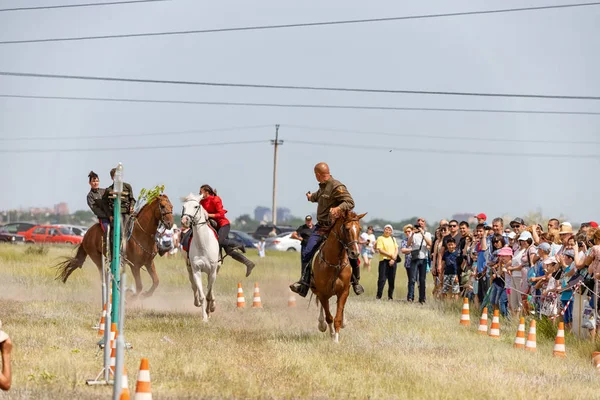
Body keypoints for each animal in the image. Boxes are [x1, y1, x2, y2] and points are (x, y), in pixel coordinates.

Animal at [180, 194, 223, 322]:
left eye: (196, 206)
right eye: (183, 206)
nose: (184, 221)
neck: (203, 245)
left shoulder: (212, 271)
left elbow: (208, 294)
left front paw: (209, 311)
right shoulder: (196, 271)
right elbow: (202, 295)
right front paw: (204, 317)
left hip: (216, 269)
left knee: (211, 288)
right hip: (189, 268)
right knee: (194, 286)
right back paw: (197, 302)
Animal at [314, 209, 366, 344]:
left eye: (359, 228)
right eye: (347, 229)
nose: (355, 253)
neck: (335, 263)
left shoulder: (343, 292)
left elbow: (337, 316)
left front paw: (336, 339)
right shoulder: (322, 293)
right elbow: (329, 317)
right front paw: (332, 334)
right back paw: (321, 324)